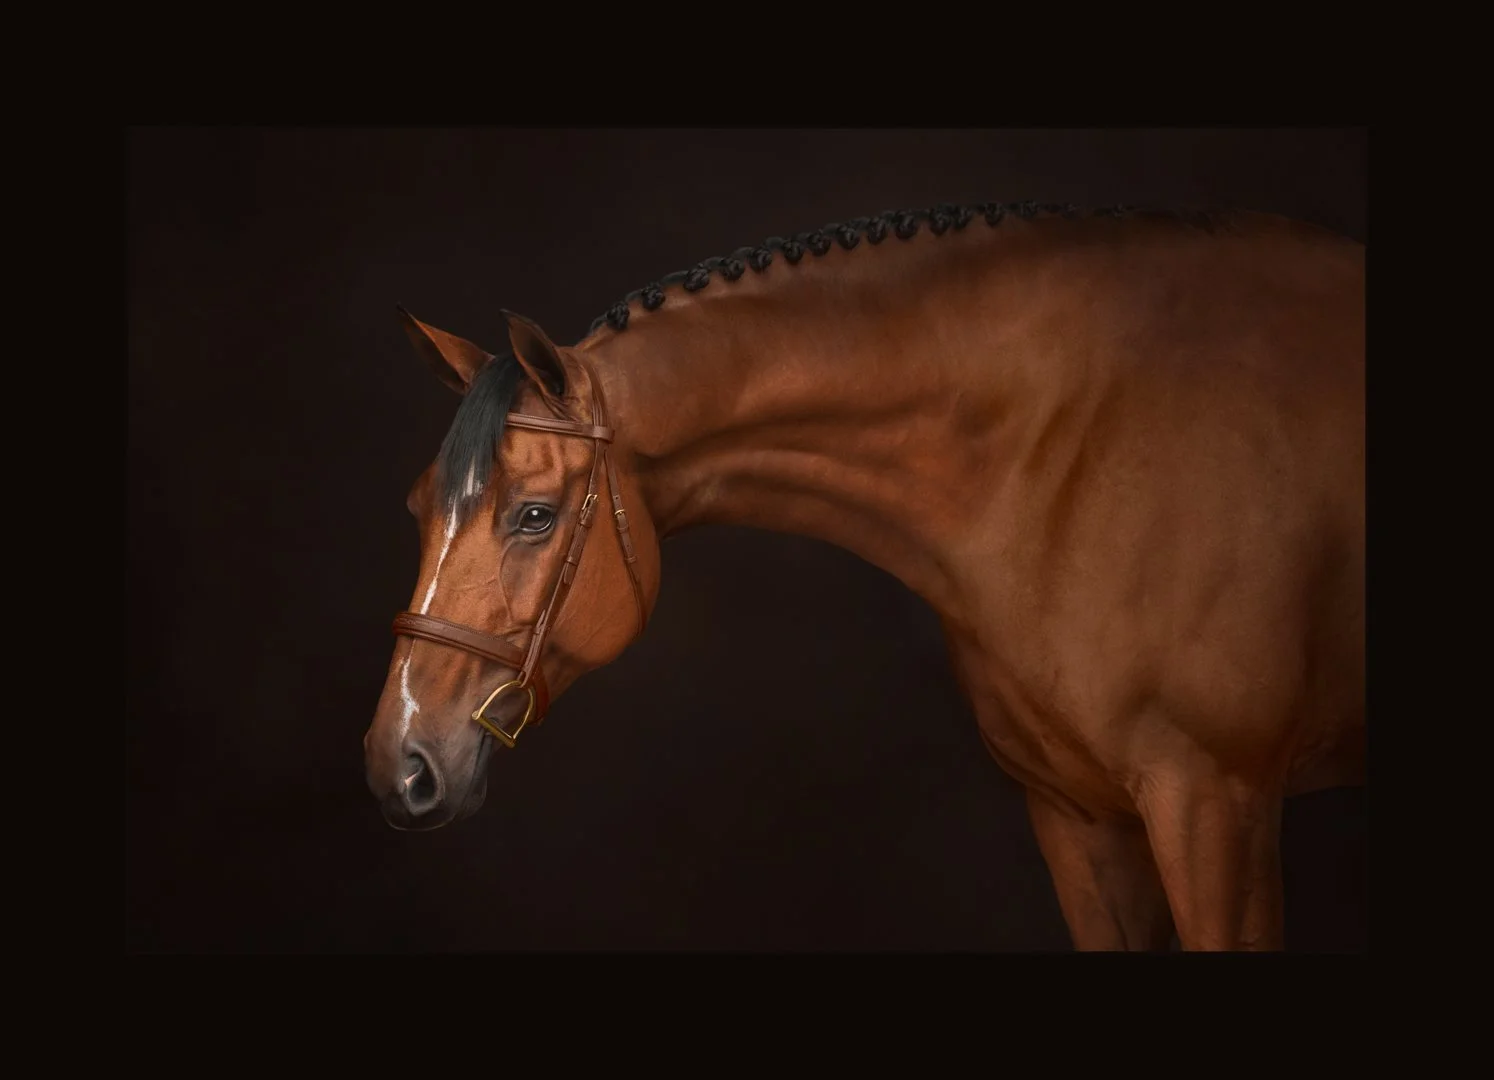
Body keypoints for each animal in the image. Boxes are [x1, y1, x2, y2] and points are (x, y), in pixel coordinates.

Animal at [362, 202, 1365, 951]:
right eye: (415, 508)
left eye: (534, 515)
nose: (397, 765)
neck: (1080, 450)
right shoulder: (1078, 820)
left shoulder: (1215, 809)